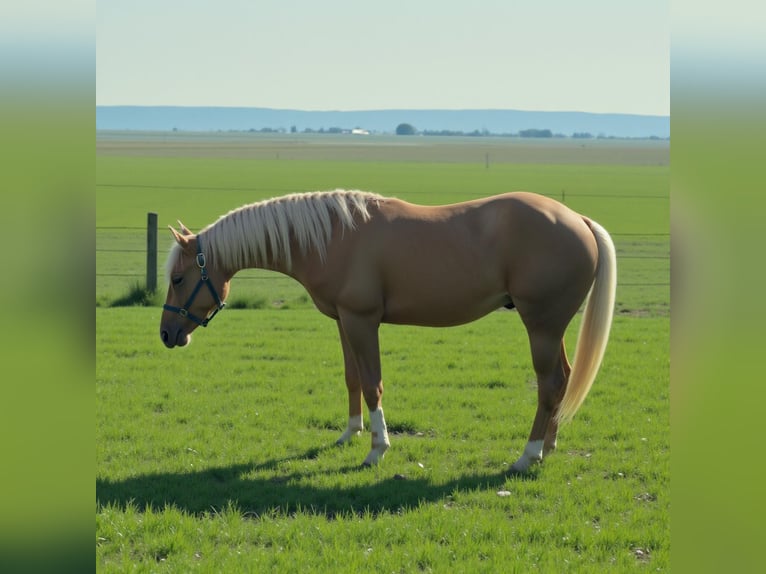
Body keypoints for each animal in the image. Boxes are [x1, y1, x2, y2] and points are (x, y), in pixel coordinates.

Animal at [160, 189, 616, 472]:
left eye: (179, 279)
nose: (166, 335)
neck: (333, 237)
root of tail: (578, 220)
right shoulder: (343, 321)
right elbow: (352, 379)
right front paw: (350, 433)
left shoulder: (363, 321)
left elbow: (372, 383)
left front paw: (377, 450)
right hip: (552, 328)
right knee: (563, 380)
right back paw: (549, 446)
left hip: (541, 327)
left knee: (549, 384)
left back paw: (528, 455)